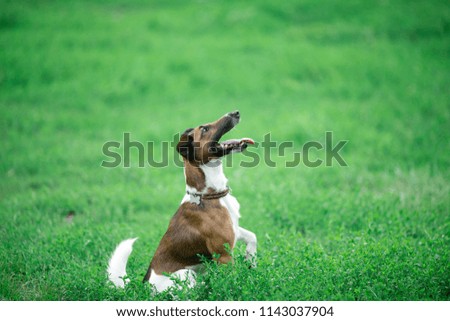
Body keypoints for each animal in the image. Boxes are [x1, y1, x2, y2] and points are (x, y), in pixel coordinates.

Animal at [107, 110, 256, 292]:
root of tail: (144, 287)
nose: (235, 112)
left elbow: (253, 237)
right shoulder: (223, 254)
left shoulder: (235, 231)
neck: (207, 196)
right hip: (186, 273)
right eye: (205, 129)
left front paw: (251, 262)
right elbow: (232, 281)